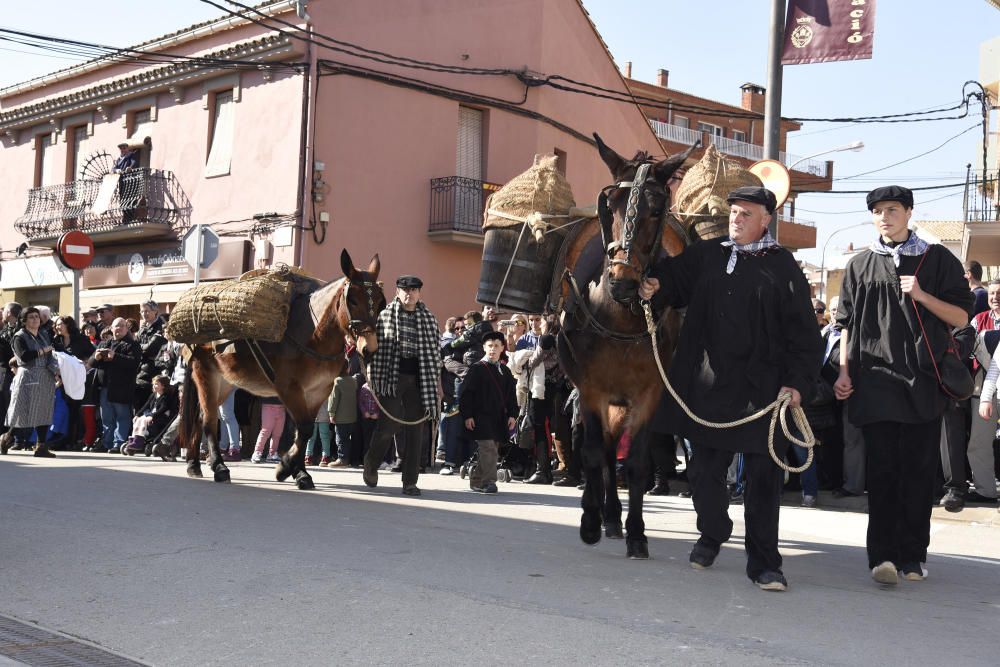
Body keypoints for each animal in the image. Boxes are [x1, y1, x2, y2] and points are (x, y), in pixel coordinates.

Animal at [178, 250, 384, 490]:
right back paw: (218, 467)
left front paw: (298, 471)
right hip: (206, 375)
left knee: (201, 417)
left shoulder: (318, 392)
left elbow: (305, 432)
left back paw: (194, 464)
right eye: (352, 299)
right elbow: (304, 428)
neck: (314, 335)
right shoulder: (289, 389)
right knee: (209, 421)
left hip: (225, 382)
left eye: (379, 302)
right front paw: (287, 468)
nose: (369, 348)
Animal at [560, 134, 692, 560]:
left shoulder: (649, 394)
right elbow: (592, 454)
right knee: (601, 451)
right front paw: (590, 521)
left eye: (657, 208)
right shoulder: (591, 391)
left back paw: (616, 519)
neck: (620, 316)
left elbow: (635, 462)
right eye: (611, 205)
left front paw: (637, 532)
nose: (622, 282)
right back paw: (604, 515)